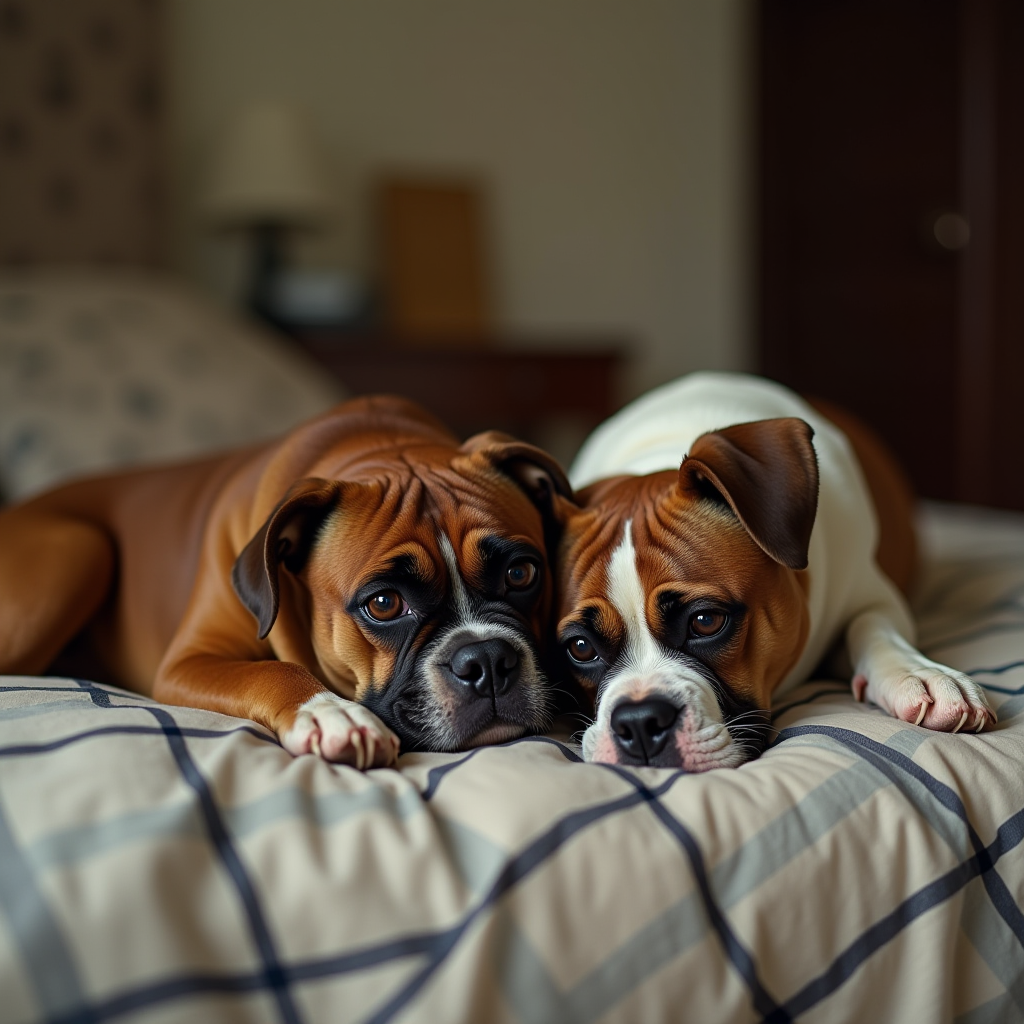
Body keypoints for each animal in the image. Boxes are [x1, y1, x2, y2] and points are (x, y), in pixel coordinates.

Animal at [0, 391, 569, 770]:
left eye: (521, 573)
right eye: (384, 604)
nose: (486, 660)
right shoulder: (190, 662)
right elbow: (273, 671)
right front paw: (331, 715)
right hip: (82, 550)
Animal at [557, 372, 995, 770]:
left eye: (705, 621)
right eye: (580, 647)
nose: (639, 721)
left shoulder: (873, 594)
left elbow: (873, 624)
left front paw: (917, 671)